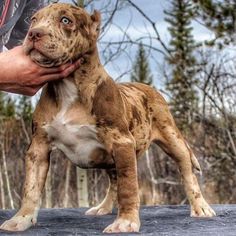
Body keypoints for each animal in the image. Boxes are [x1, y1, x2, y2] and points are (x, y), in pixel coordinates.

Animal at [0, 3, 216, 234]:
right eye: (33, 19)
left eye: (66, 20)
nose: (33, 33)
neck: (67, 86)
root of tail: (148, 88)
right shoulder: (38, 147)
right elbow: (30, 187)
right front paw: (21, 219)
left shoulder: (122, 142)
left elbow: (128, 186)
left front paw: (126, 221)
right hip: (111, 157)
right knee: (114, 181)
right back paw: (102, 207)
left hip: (172, 138)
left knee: (186, 171)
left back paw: (201, 207)